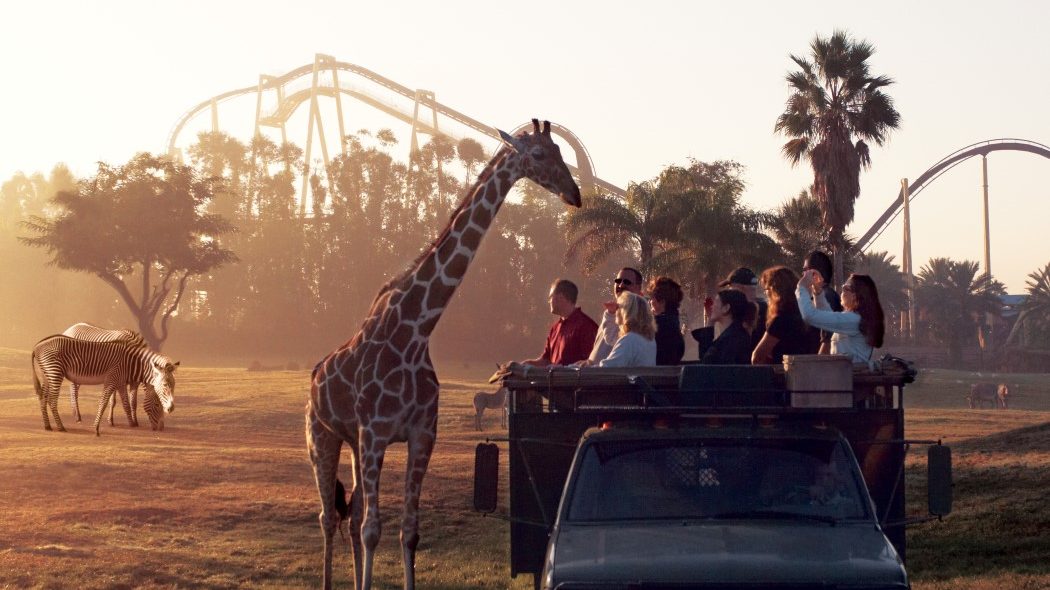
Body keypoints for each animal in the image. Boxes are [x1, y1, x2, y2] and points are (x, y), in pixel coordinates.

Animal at [31, 333, 178, 434]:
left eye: (174, 385)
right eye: (157, 404)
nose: (161, 428)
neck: (130, 363)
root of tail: (37, 346)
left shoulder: (120, 382)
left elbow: (125, 403)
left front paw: (131, 423)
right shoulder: (112, 379)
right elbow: (104, 402)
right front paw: (96, 427)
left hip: (47, 374)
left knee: (43, 398)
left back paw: (48, 426)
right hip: (55, 372)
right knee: (52, 400)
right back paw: (60, 427)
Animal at [306, 117, 579, 583]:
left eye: (562, 151)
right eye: (540, 154)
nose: (574, 193)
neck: (415, 332)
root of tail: (314, 377)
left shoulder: (419, 435)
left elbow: (408, 530)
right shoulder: (376, 433)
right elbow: (373, 530)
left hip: (353, 442)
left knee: (351, 511)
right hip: (321, 436)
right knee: (329, 517)